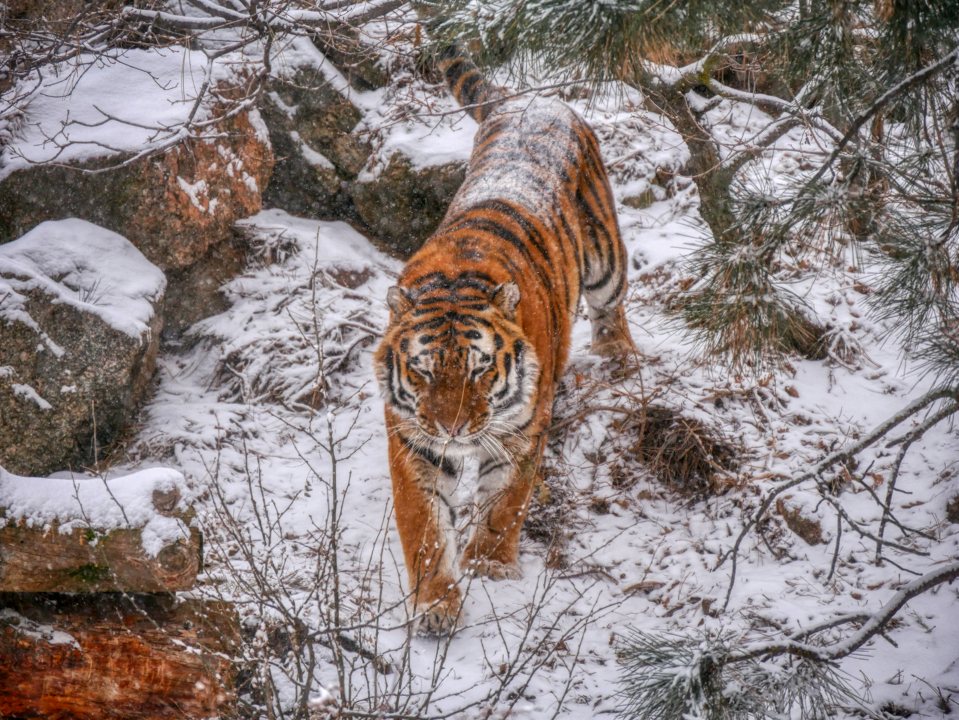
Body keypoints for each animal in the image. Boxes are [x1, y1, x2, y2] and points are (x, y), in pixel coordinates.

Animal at [374, 45, 636, 634]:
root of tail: (530, 102)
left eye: (478, 368)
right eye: (423, 370)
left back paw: (620, 358)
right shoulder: (413, 441)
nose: (452, 427)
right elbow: (424, 529)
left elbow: (506, 504)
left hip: (605, 255)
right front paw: (437, 604)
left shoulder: (524, 430)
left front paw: (490, 566)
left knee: (611, 304)